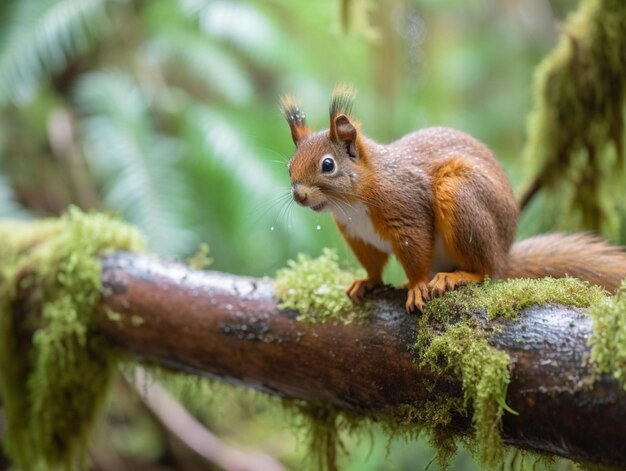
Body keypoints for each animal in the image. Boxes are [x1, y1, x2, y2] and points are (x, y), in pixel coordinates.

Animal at [280, 85, 624, 314]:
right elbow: (373, 264)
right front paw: (367, 282)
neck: (353, 204)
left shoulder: (407, 211)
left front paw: (417, 286)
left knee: (484, 271)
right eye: (289, 166)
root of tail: (503, 254)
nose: (299, 194)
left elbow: (416, 252)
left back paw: (455, 276)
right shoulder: (358, 235)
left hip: (459, 199)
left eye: (328, 165)